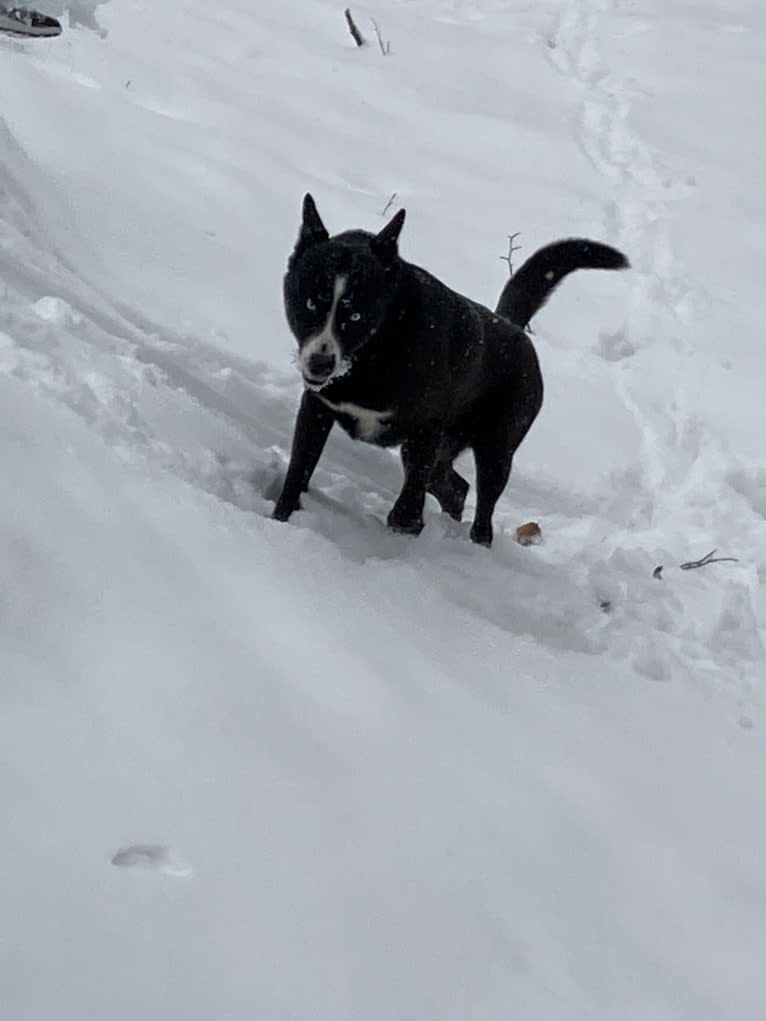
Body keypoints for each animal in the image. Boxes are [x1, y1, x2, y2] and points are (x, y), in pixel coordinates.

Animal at [273, 195, 625, 547]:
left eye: (357, 314)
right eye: (310, 304)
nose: (320, 363)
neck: (374, 352)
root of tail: (511, 325)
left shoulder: (425, 429)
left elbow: (408, 506)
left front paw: (402, 533)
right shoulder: (317, 408)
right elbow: (298, 470)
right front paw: (281, 517)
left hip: (496, 449)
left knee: (481, 508)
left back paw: (475, 544)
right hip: (446, 447)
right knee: (454, 486)